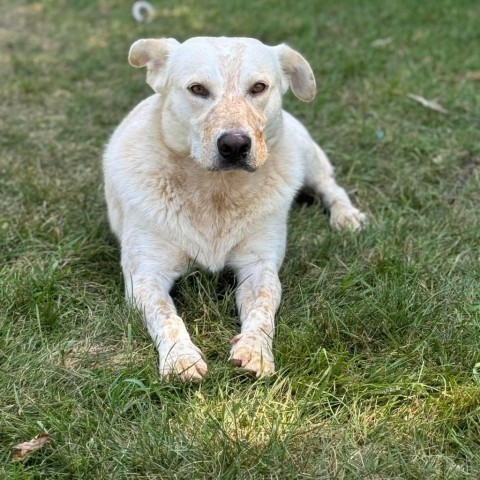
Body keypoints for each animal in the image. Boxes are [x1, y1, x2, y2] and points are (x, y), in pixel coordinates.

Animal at [103, 35, 366, 380]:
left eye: (258, 87)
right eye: (197, 89)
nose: (235, 145)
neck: (217, 193)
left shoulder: (259, 267)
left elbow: (262, 310)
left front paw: (255, 351)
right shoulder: (145, 275)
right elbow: (167, 316)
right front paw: (180, 358)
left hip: (307, 157)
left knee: (330, 186)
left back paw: (346, 216)